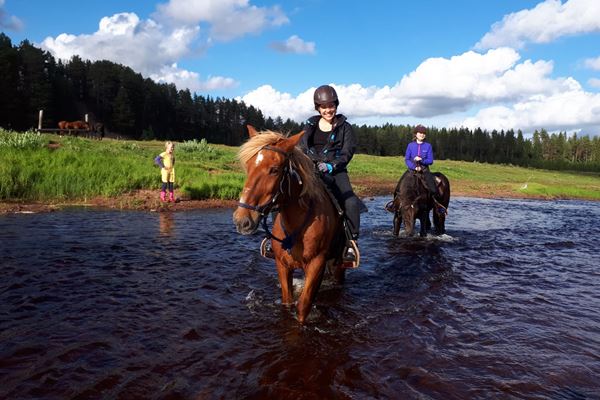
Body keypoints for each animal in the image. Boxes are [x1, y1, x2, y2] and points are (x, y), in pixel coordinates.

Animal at [233, 126, 350, 324]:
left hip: (338, 264)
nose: (242, 220)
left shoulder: (316, 264)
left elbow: (303, 306)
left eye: (274, 170)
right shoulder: (282, 265)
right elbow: (287, 302)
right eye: (248, 167)